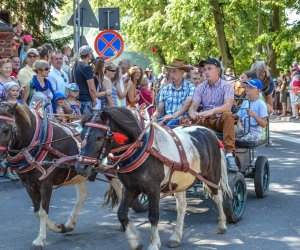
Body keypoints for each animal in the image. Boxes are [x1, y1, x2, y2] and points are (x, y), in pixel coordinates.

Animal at [76, 107, 231, 250]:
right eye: (81, 135)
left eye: (99, 137)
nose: (80, 167)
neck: (141, 148)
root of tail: (210, 133)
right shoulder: (130, 188)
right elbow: (122, 213)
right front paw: (135, 241)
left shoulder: (153, 189)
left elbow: (153, 216)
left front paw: (154, 243)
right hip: (180, 181)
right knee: (182, 206)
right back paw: (176, 237)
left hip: (212, 175)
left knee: (218, 197)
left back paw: (222, 225)